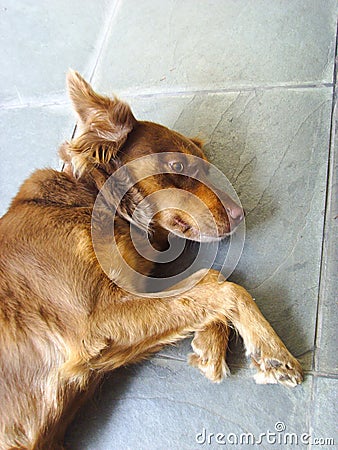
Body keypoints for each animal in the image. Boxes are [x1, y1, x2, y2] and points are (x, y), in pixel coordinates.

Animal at [0, 72, 302, 448]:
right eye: (177, 165)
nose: (240, 214)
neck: (92, 200)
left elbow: (210, 278)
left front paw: (208, 343)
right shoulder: (93, 322)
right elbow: (227, 289)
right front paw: (273, 352)